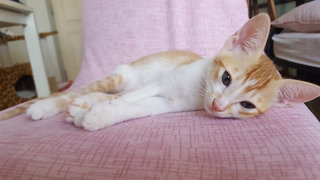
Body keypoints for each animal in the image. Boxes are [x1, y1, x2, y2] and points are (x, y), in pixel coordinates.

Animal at [0, 13, 320, 131]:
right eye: (226, 77)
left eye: (246, 105)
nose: (218, 106)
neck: (198, 87)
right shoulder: (161, 82)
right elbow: (132, 97)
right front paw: (88, 111)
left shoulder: (168, 104)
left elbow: (135, 107)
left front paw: (96, 116)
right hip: (122, 74)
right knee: (83, 91)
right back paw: (45, 107)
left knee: (100, 95)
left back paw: (83, 106)